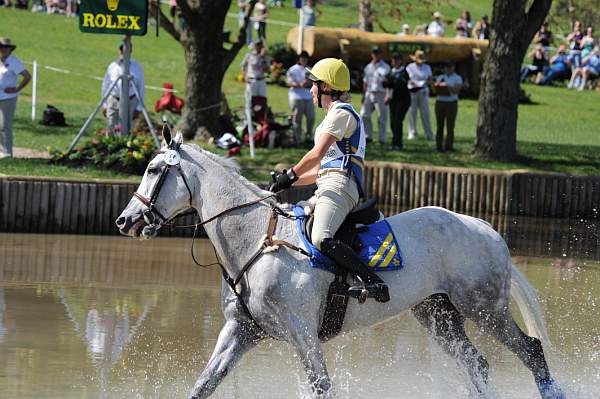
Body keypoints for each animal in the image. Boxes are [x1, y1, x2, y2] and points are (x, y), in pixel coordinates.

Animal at [117, 134, 568, 399]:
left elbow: (321, 387)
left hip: (484, 307)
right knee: (476, 363)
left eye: (154, 170)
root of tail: (486, 228)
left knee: (531, 350)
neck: (256, 240)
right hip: (438, 313)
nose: (126, 221)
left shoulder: (302, 335)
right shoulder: (241, 331)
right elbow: (204, 384)